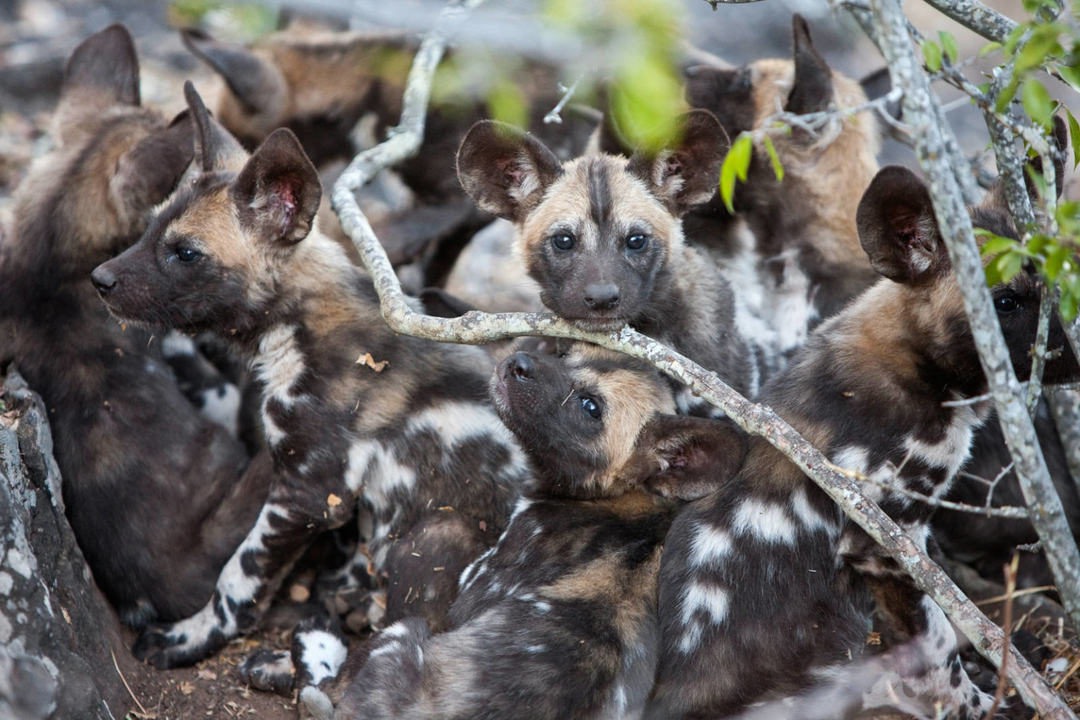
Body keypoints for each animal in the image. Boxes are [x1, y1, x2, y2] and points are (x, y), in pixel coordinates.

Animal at [90, 81, 529, 669]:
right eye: (150, 228)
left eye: (185, 253)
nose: (100, 279)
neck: (295, 324)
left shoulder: (307, 494)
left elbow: (236, 580)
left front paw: (190, 638)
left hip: (432, 539)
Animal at [324, 343, 747, 720]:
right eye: (563, 353)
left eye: (590, 406)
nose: (519, 363)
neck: (619, 500)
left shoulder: (475, 585)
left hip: (405, 625)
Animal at [643, 165, 1075, 720]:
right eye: (1006, 302)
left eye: (1055, 288)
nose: (1075, 360)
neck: (916, 362)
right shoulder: (885, 541)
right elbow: (936, 642)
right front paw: (972, 705)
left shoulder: (912, 540)